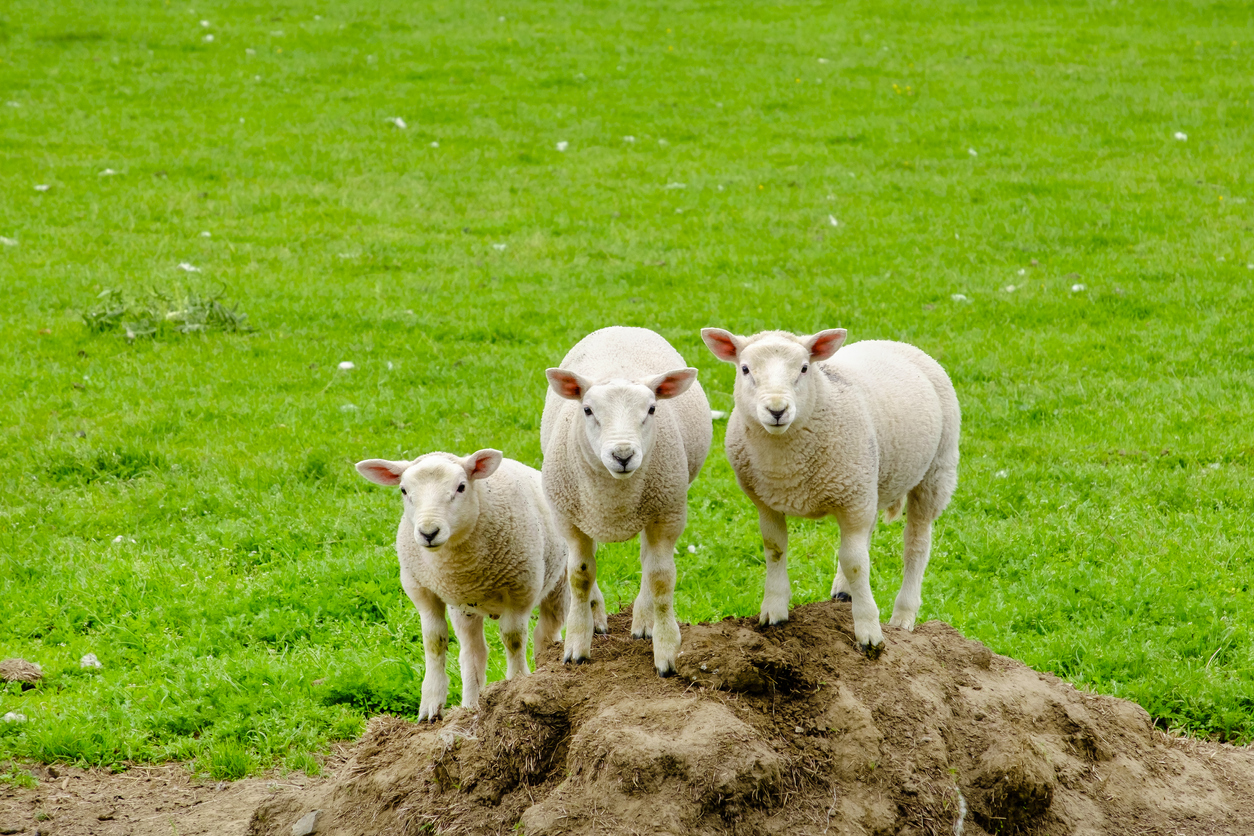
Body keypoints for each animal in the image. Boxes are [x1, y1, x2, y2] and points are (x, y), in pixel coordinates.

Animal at [351, 451, 571, 721]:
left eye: (461, 487)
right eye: (403, 490)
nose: (428, 532)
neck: (457, 561)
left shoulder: (521, 590)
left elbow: (514, 640)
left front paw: (516, 685)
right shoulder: (422, 591)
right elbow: (434, 642)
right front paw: (431, 705)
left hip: (558, 581)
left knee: (547, 632)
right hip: (464, 607)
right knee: (473, 652)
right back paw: (470, 706)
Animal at [541, 325, 712, 681]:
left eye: (651, 409)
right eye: (587, 410)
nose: (622, 455)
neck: (614, 498)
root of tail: (623, 327)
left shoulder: (667, 513)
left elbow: (661, 577)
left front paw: (666, 650)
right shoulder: (568, 519)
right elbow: (579, 574)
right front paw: (576, 645)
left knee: (649, 561)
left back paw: (643, 623)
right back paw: (597, 616)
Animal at [697, 325, 958, 661]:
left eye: (804, 368)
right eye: (744, 369)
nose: (777, 410)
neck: (786, 464)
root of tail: (892, 342)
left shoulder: (852, 499)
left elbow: (855, 562)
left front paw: (869, 633)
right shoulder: (768, 502)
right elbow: (775, 549)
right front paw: (774, 610)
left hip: (935, 471)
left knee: (916, 543)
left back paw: (902, 616)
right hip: (871, 480)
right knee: (866, 536)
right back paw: (844, 591)